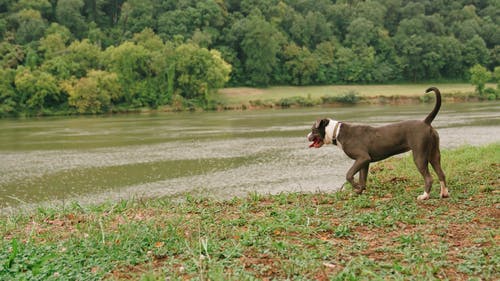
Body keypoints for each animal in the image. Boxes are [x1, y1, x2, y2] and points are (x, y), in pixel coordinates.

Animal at [308, 86, 450, 199]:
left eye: (313, 129)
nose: (307, 136)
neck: (336, 132)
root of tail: (426, 122)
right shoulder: (365, 162)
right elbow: (363, 180)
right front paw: (358, 191)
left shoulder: (362, 158)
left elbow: (348, 175)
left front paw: (355, 187)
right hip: (434, 154)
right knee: (441, 174)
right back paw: (444, 193)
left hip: (419, 156)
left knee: (429, 178)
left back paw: (424, 196)